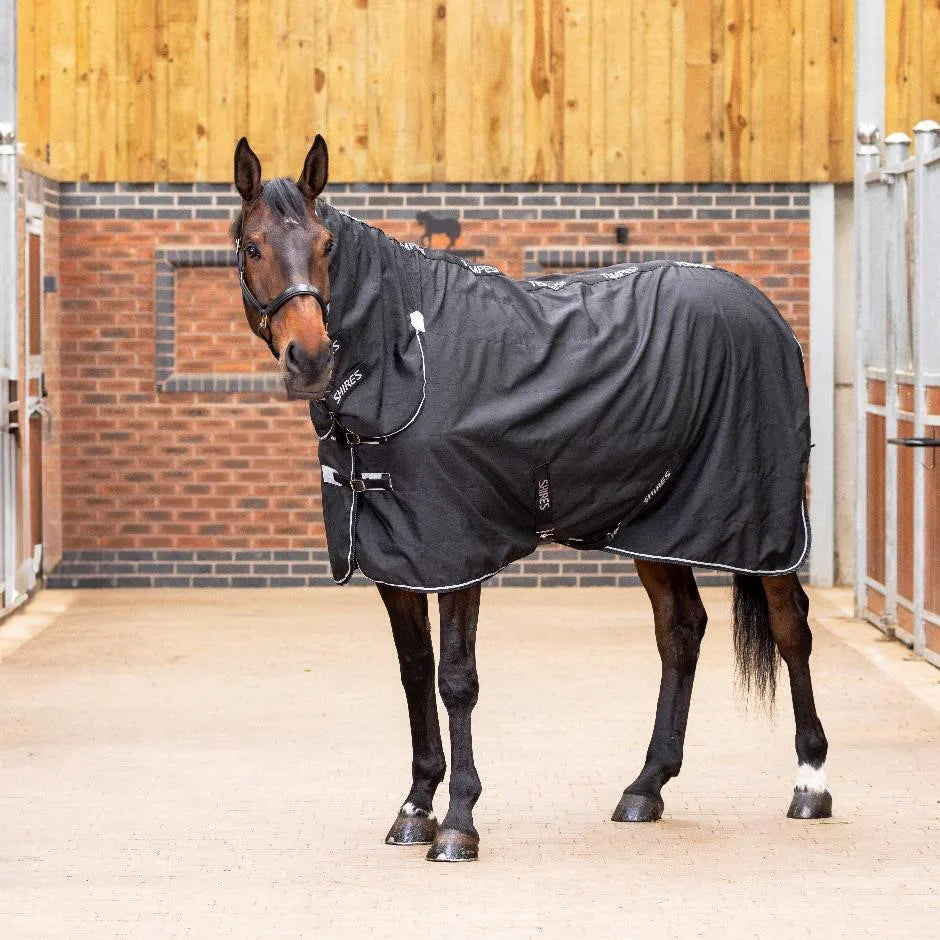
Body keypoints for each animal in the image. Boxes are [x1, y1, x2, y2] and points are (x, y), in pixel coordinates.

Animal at [228, 135, 832, 862]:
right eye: (254, 246)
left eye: (324, 245)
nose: (311, 357)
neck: (408, 350)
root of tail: (767, 315)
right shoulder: (396, 556)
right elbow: (414, 672)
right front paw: (415, 808)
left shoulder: (457, 551)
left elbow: (456, 680)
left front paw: (458, 825)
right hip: (658, 525)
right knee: (681, 631)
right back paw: (645, 788)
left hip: (764, 522)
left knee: (790, 627)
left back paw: (810, 784)